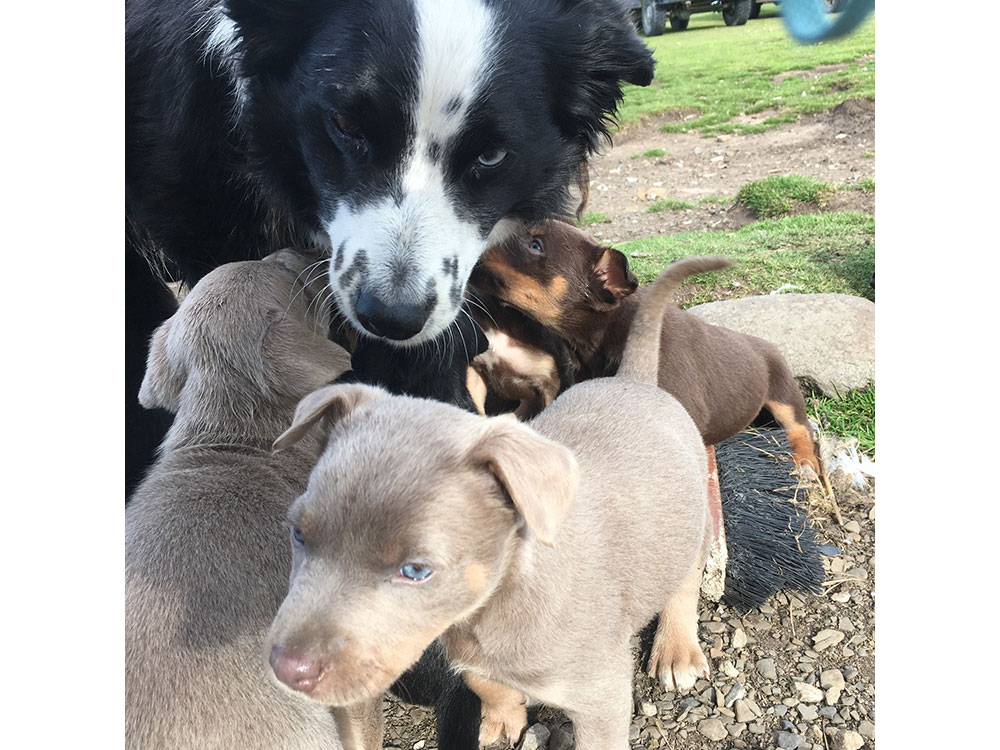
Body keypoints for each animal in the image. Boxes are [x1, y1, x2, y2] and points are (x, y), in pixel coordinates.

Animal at [262, 256, 708, 748]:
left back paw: (677, 649)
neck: (491, 608)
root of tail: (633, 380)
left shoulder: (600, 692)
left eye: (415, 571)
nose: (286, 670)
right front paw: (501, 714)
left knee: (687, 577)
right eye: (298, 534)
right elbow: (480, 680)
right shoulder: (462, 647)